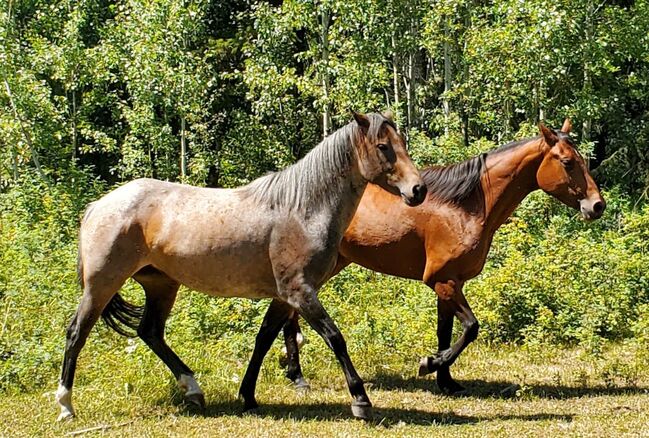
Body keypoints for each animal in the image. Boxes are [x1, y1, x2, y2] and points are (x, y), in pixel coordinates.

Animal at [54, 112, 426, 420]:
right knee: (77, 333)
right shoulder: (300, 292)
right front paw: (360, 400)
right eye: (383, 147)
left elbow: (263, 339)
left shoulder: (284, 297)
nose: (418, 190)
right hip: (102, 284)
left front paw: (247, 396)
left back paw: (193, 390)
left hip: (161, 284)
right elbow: (335, 338)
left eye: (401, 144)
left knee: (150, 333)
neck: (301, 210)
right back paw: (66, 405)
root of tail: (98, 205)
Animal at [270, 119, 604, 394]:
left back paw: (295, 374)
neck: (465, 207)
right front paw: (429, 364)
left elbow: (445, 332)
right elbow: (470, 329)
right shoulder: (443, 281)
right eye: (567, 162)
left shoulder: (450, 284)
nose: (597, 205)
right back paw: (298, 377)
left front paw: (445, 380)